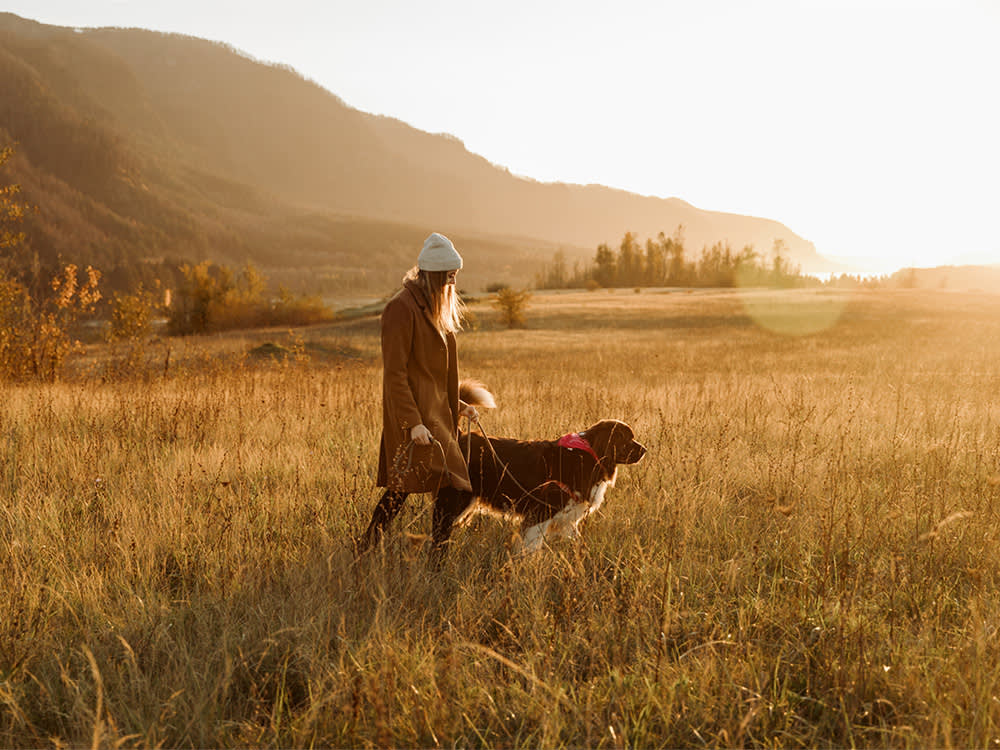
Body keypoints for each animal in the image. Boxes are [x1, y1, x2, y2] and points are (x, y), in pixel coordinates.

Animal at [430, 384, 648, 556]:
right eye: (627, 439)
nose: (645, 450)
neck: (587, 454)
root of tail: (459, 436)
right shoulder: (539, 514)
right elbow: (530, 547)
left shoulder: (566, 520)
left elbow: (579, 544)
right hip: (453, 503)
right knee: (439, 537)